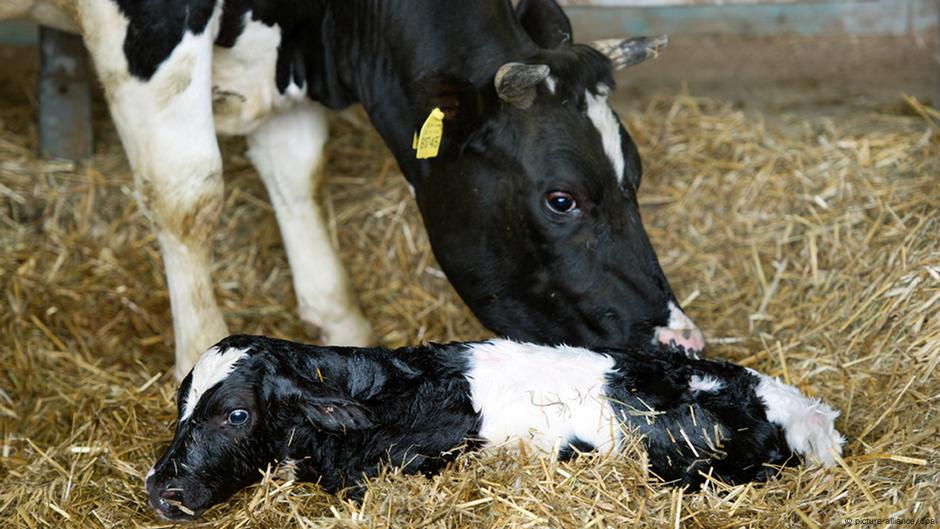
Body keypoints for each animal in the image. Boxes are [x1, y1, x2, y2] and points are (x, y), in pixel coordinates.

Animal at [1, 0, 704, 380]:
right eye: (562, 199)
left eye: (635, 175)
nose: (684, 342)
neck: (310, 40)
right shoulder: (150, 28)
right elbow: (188, 195)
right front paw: (200, 363)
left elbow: (297, 171)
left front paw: (340, 327)